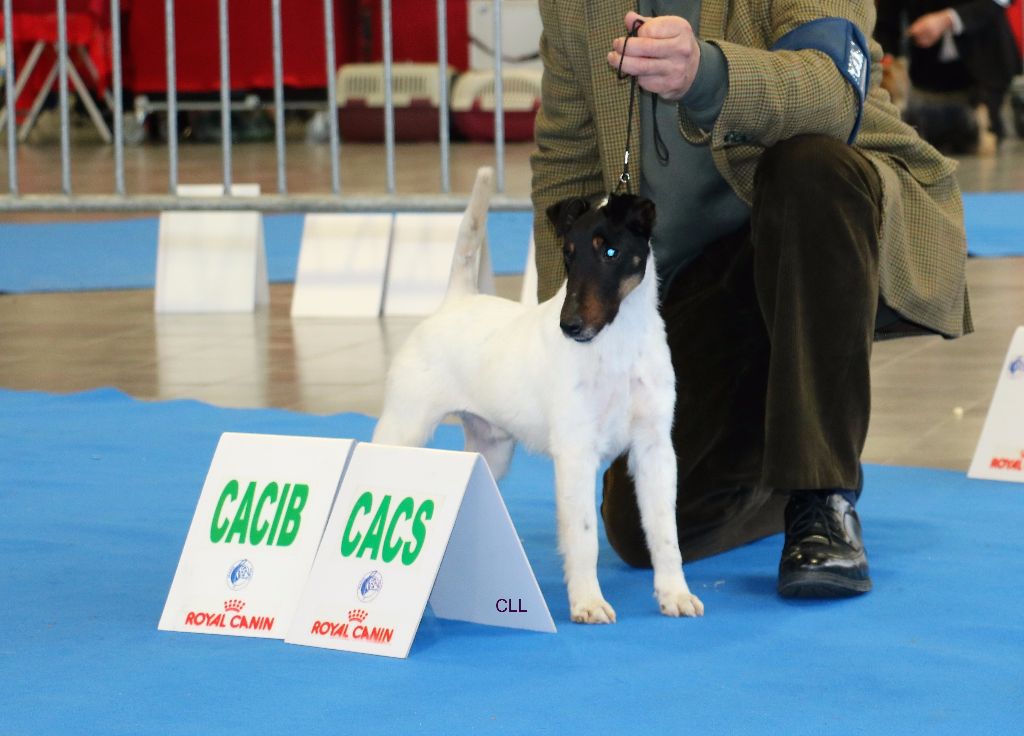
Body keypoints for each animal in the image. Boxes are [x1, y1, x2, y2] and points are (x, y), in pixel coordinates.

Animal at [374, 169, 704, 626]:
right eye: (568, 255)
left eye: (611, 251)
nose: (571, 325)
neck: (617, 344)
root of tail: (454, 301)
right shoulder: (577, 453)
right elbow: (583, 538)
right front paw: (588, 603)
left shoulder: (654, 448)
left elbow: (663, 531)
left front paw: (675, 594)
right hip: (405, 426)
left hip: (491, 450)